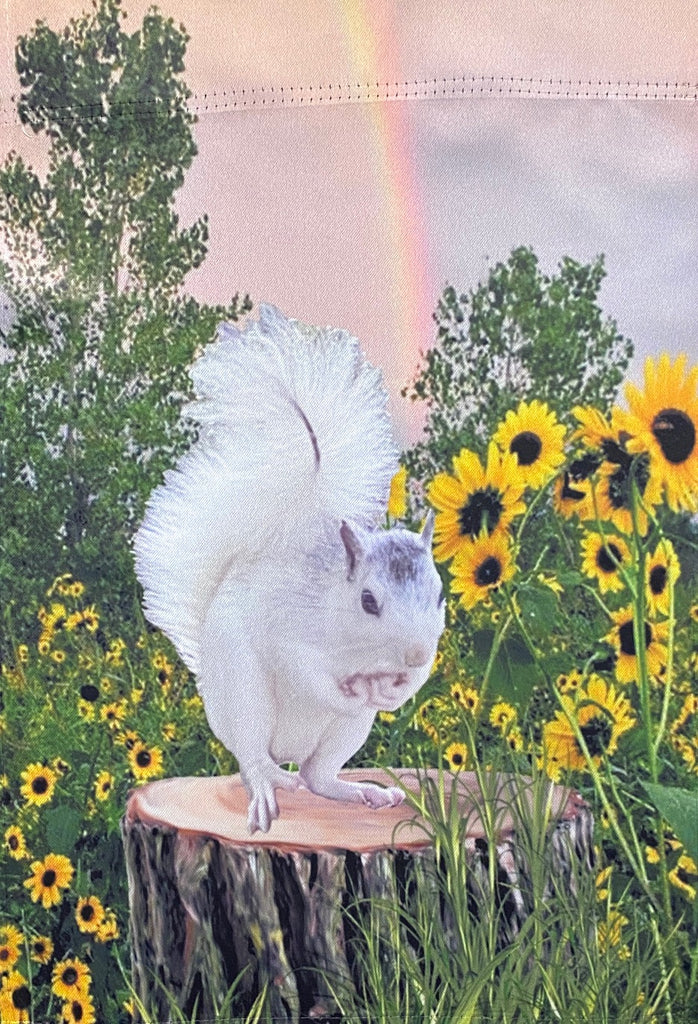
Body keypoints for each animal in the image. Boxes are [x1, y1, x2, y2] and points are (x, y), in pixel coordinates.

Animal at [133, 303, 442, 831]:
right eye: (368, 601)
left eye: (441, 596)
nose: (416, 654)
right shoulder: (291, 635)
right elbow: (307, 670)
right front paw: (350, 690)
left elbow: (412, 684)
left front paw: (395, 691)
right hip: (247, 699)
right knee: (252, 759)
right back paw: (266, 785)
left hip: (345, 734)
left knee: (318, 776)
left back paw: (363, 791)